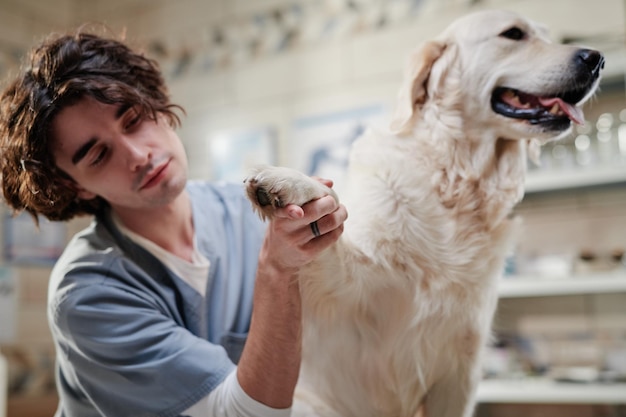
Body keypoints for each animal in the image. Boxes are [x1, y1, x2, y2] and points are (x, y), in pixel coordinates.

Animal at [243, 8, 600, 416]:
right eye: (513, 34)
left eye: (546, 35)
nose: (597, 59)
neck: (456, 183)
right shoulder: (353, 295)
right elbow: (334, 223)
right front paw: (290, 183)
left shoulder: (460, 371)